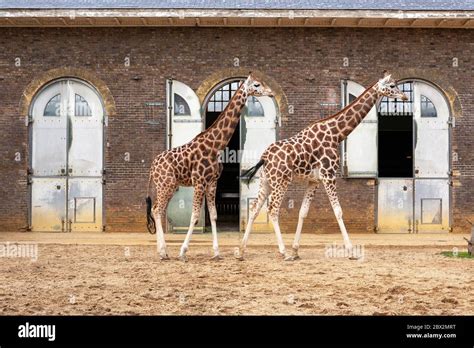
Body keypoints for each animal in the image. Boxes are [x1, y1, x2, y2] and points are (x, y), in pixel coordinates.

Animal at [145, 72, 274, 260]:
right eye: (257, 85)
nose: (271, 93)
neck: (216, 146)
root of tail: (152, 168)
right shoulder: (199, 181)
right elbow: (194, 216)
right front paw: (183, 251)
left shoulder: (212, 182)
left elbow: (213, 215)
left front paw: (216, 252)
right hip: (165, 185)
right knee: (156, 210)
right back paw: (163, 252)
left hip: (169, 185)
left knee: (157, 210)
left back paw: (164, 252)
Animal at [237, 71, 408, 260]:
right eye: (392, 86)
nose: (405, 96)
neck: (336, 134)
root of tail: (264, 157)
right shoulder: (329, 175)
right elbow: (338, 211)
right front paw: (351, 251)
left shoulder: (314, 181)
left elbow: (303, 212)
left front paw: (296, 250)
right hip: (280, 181)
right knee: (272, 209)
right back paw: (282, 252)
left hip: (266, 181)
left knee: (254, 208)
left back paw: (241, 251)